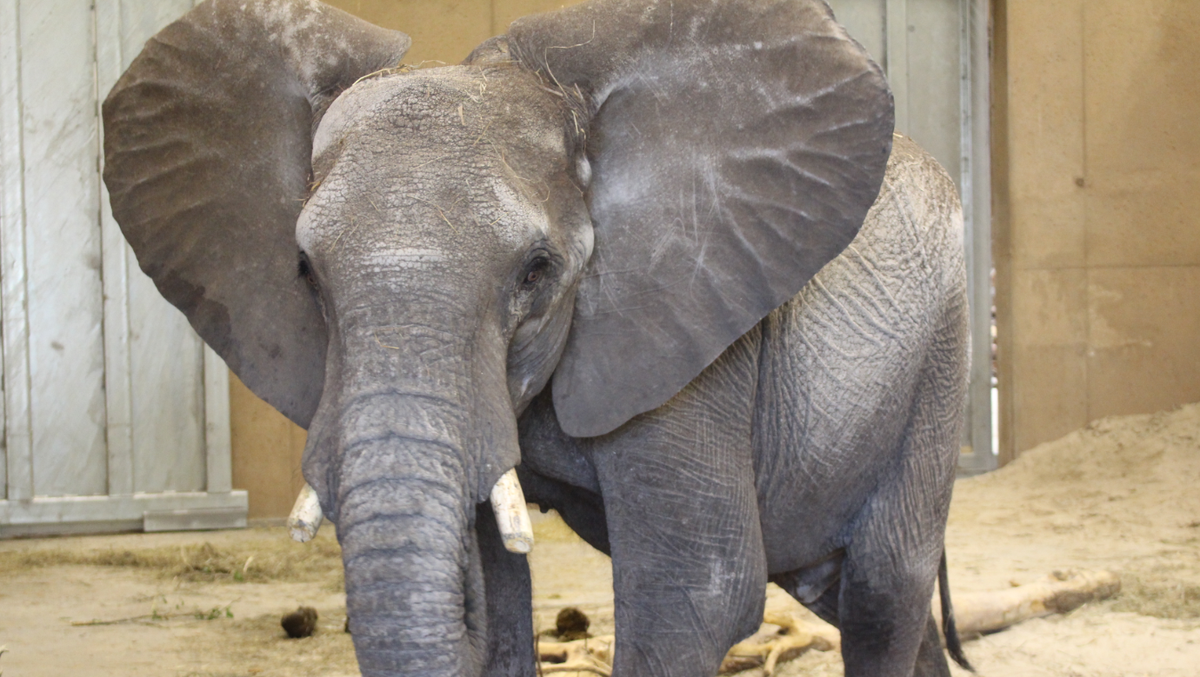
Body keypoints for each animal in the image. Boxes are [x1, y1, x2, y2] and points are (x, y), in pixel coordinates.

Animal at [101, 0, 973, 676]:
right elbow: (501, 591)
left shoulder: (688, 336)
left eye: (536, 270)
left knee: (880, 597)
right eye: (305, 271)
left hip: (939, 357)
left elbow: (699, 591)